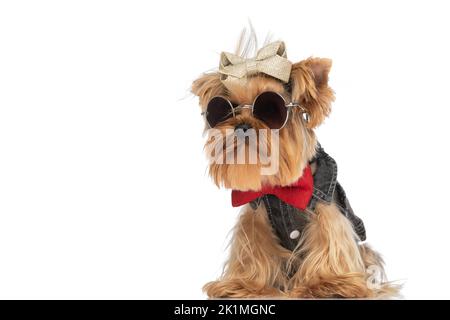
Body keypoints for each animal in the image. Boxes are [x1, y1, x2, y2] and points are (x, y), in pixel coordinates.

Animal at [192, 34, 396, 298]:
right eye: (227, 108)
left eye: (270, 109)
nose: (242, 125)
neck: (279, 188)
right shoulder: (255, 217)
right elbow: (253, 248)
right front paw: (244, 284)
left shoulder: (326, 209)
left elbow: (328, 241)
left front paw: (326, 284)